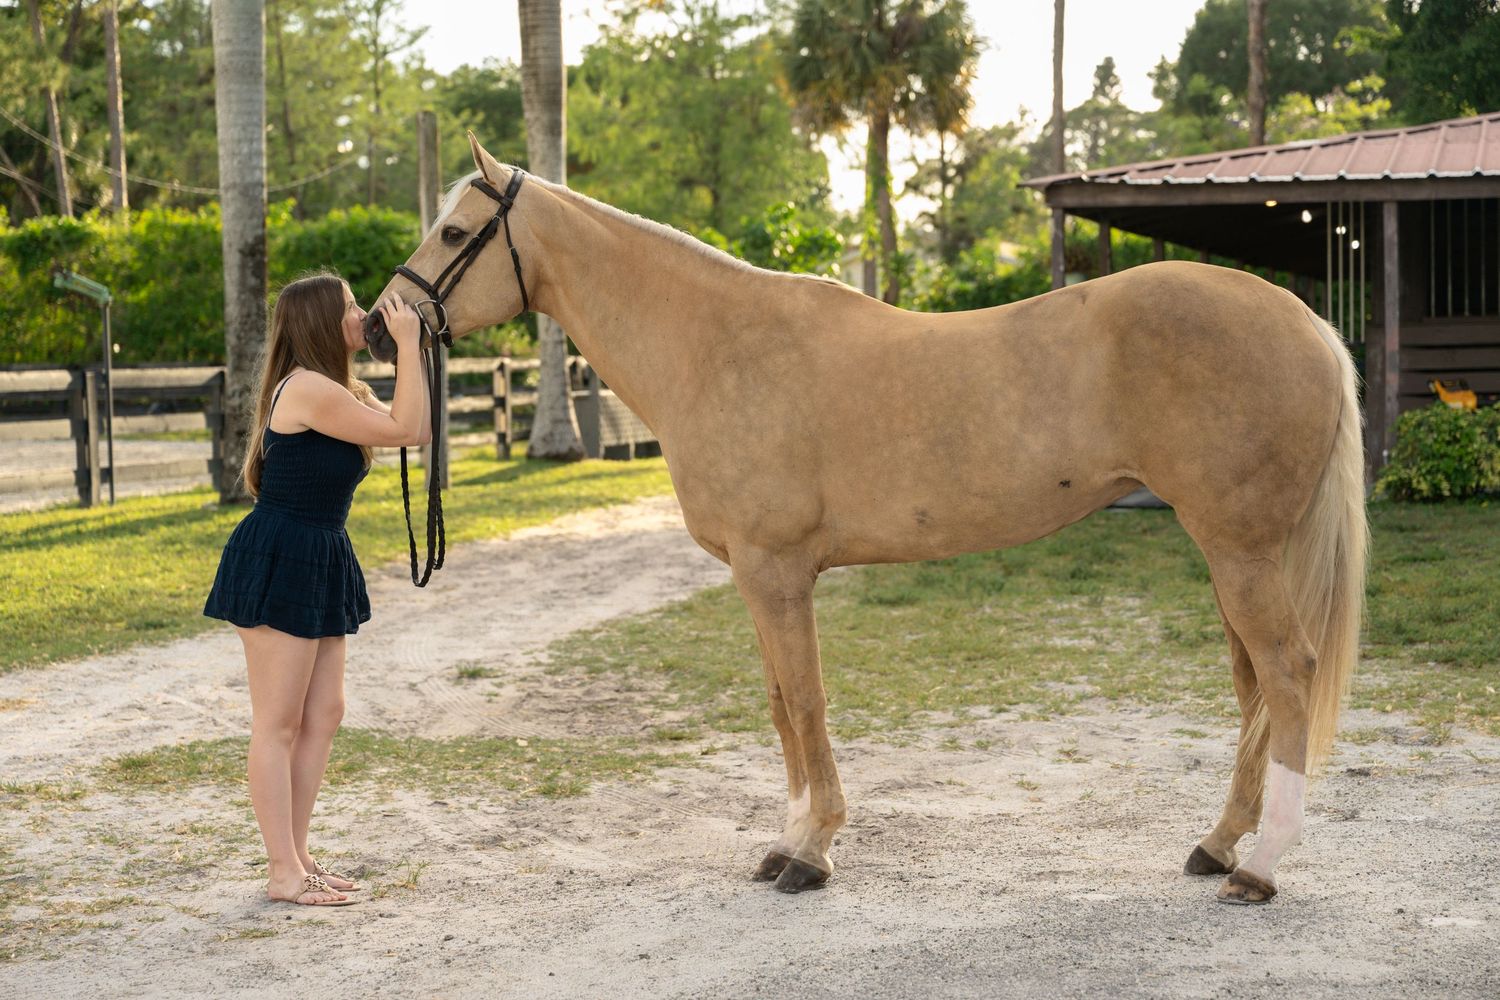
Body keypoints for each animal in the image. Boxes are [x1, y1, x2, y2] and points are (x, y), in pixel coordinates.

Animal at [366, 135, 1368, 905]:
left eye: (454, 230)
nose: (379, 329)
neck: (718, 346)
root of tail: (1306, 320)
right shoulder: (756, 578)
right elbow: (780, 705)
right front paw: (786, 842)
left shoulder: (775, 572)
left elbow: (806, 702)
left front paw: (813, 854)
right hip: (1231, 551)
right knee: (1254, 690)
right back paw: (1219, 846)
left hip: (1240, 550)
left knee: (1288, 674)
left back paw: (1261, 867)